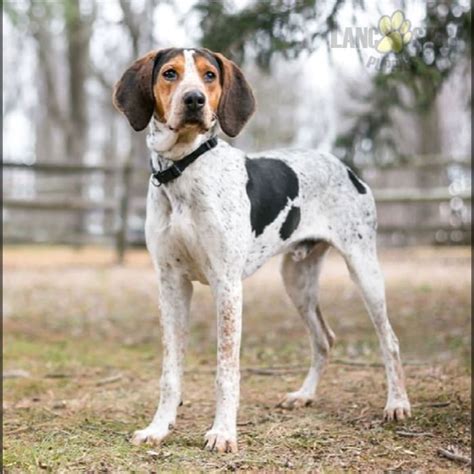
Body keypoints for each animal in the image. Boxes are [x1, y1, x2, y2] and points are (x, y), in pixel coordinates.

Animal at [113, 47, 410, 452]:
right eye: (170, 74)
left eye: (209, 75)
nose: (194, 100)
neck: (184, 169)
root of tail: (346, 167)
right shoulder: (171, 283)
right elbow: (170, 371)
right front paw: (159, 427)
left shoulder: (226, 285)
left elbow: (226, 370)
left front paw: (223, 433)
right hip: (297, 281)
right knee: (324, 339)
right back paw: (304, 395)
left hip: (364, 270)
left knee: (389, 340)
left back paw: (397, 403)